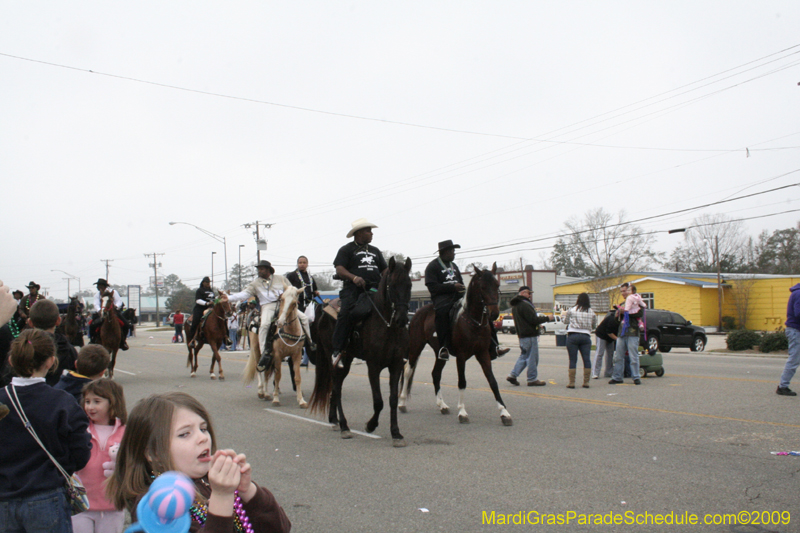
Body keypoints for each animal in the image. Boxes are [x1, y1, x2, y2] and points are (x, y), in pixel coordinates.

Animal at [310, 256, 412, 446]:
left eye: (409, 285)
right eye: (392, 285)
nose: (402, 319)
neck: (388, 326)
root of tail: (323, 309)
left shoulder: (395, 366)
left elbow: (393, 400)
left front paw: (396, 433)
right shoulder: (373, 366)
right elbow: (378, 401)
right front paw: (370, 425)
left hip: (347, 359)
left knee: (336, 386)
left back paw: (334, 420)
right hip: (332, 356)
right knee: (337, 387)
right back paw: (344, 426)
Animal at [400, 264, 512, 426]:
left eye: (497, 285)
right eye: (483, 287)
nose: (494, 314)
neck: (474, 321)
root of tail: (416, 314)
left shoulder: (483, 354)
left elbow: (493, 382)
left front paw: (504, 413)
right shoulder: (461, 356)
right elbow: (462, 382)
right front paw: (462, 413)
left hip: (439, 353)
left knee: (435, 374)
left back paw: (442, 405)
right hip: (416, 346)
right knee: (408, 370)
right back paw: (402, 403)